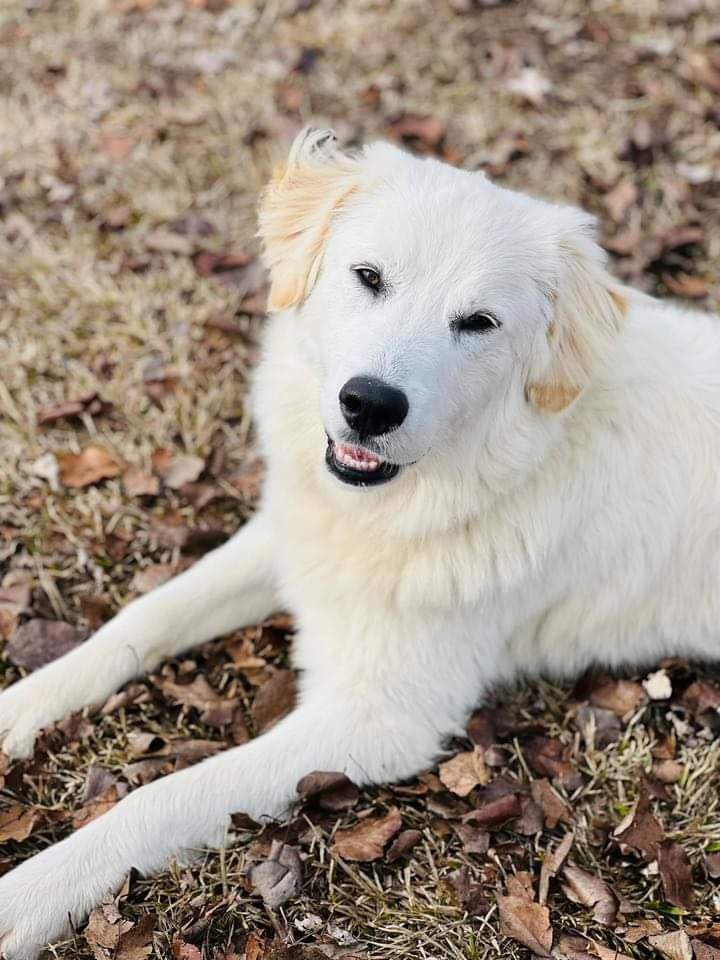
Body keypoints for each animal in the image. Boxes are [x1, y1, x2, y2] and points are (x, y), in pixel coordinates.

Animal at [1, 129, 720, 960]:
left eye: (478, 322)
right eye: (369, 277)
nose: (370, 405)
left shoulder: (376, 718)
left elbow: (163, 795)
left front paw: (30, 893)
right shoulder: (287, 541)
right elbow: (139, 620)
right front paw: (21, 708)